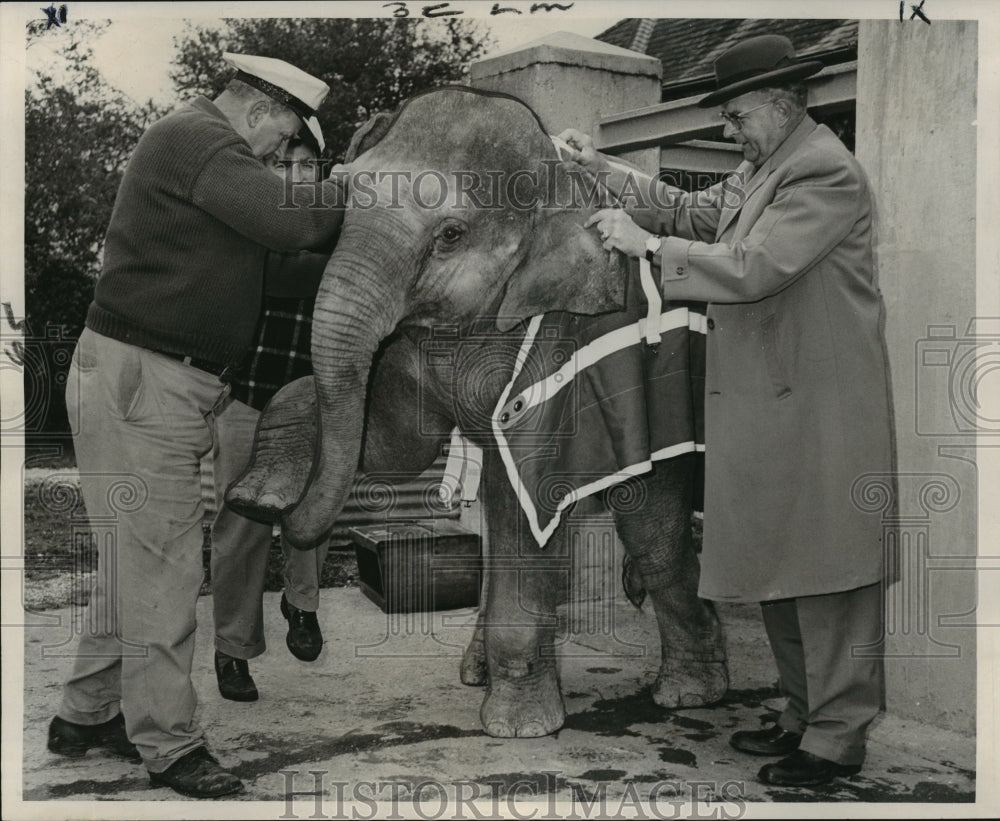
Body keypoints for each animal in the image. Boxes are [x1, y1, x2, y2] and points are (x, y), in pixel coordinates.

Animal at [227, 88, 728, 736]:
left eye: (450, 233)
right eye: (343, 196)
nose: (300, 636)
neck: (556, 175)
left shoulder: (557, 344)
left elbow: (531, 497)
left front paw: (520, 727)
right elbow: (390, 446)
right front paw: (257, 493)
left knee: (649, 532)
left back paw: (691, 694)